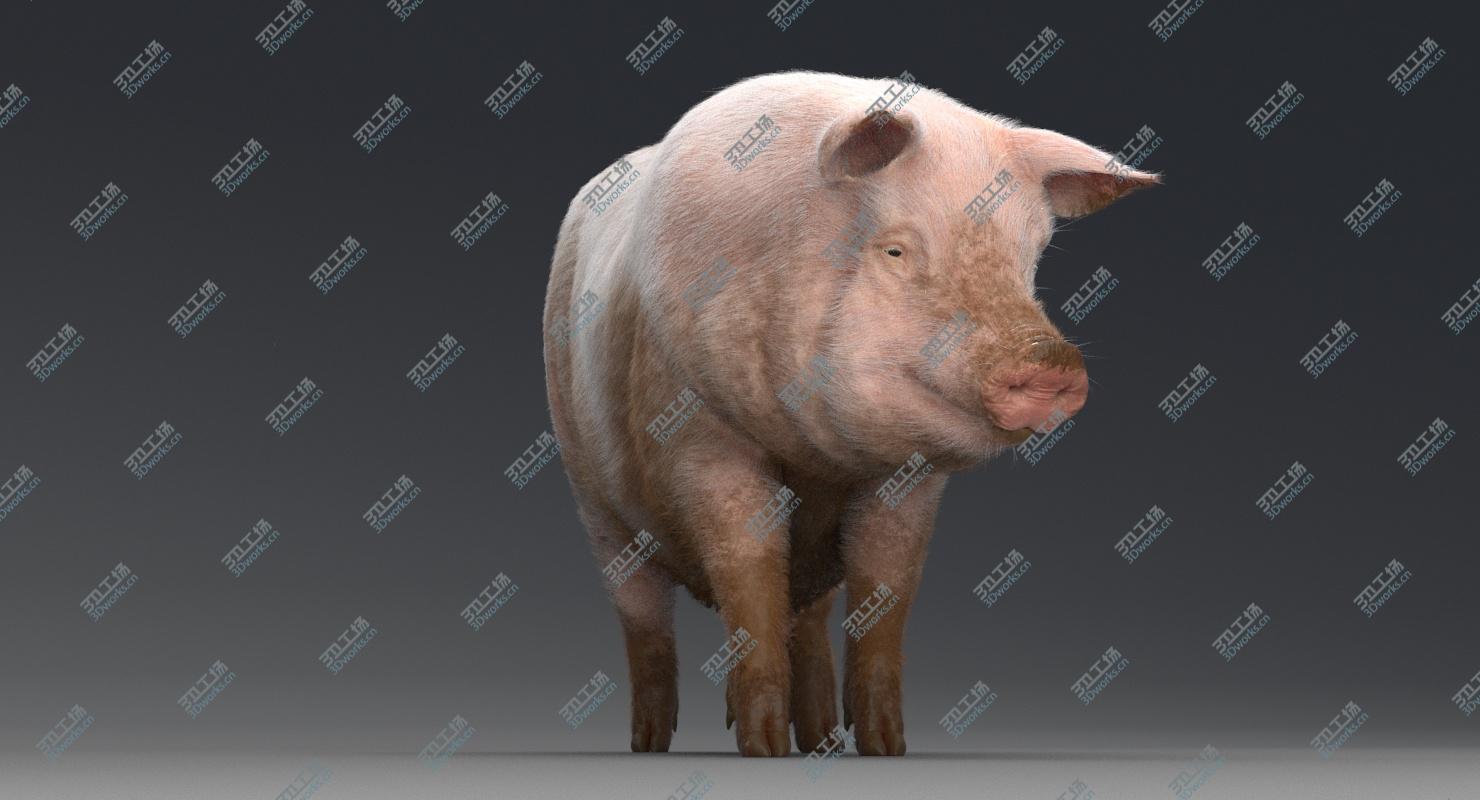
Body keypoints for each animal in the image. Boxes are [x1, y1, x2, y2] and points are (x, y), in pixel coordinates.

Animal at [542, 71, 1157, 757]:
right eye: (895, 251)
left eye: (1030, 260)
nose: (1050, 360)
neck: (815, 458)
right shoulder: (699, 435)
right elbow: (748, 574)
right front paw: (762, 751)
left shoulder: (908, 480)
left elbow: (886, 593)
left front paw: (887, 749)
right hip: (591, 494)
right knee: (643, 617)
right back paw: (652, 744)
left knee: (808, 615)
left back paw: (819, 742)